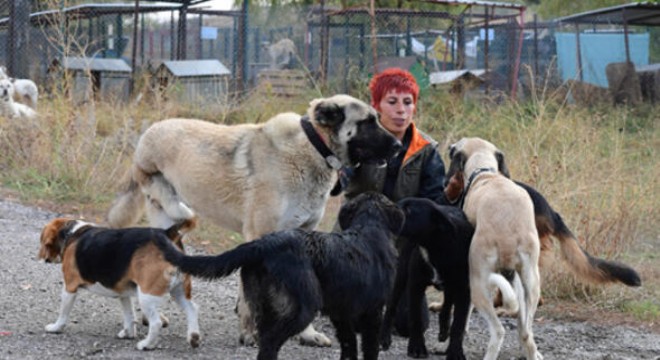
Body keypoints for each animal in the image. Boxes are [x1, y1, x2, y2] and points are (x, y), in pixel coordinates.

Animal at [107, 94, 402, 348]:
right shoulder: (258, 234)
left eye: (377, 118)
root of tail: (149, 133)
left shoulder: (304, 235)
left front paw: (307, 334)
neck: (313, 148)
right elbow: (250, 300)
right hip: (168, 209)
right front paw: (249, 334)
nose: (399, 146)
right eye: (367, 122)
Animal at [382, 198, 474, 358]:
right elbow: (416, 318)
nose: (386, 207)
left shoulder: (464, 289)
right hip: (401, 275)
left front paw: (455, 352)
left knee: (447, 303)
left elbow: (458, 324)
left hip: (451, 285)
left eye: (409, 210)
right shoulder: (415, 284)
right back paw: (385, 339)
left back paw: (444, 331)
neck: (436, 246)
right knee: (391, 306)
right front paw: (417, 347)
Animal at [446, 138, 544, 360]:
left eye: (459, 145)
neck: (486, 174)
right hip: (531, 283)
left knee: (498, 330)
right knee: (526, 332)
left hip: (479, 284)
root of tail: (507, 236)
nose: (449, 147)